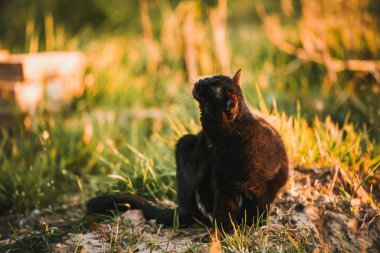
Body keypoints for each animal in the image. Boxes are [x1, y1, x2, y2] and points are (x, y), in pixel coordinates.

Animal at [87, 69, 288, 233]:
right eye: (211, 78)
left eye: (212, 86)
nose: (199, 80)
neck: (235, 139)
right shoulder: (223, 185)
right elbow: (223, 211)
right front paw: (224, 233)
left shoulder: (268, 186)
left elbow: (258, 209)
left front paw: (250, 227)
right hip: (186, 143)